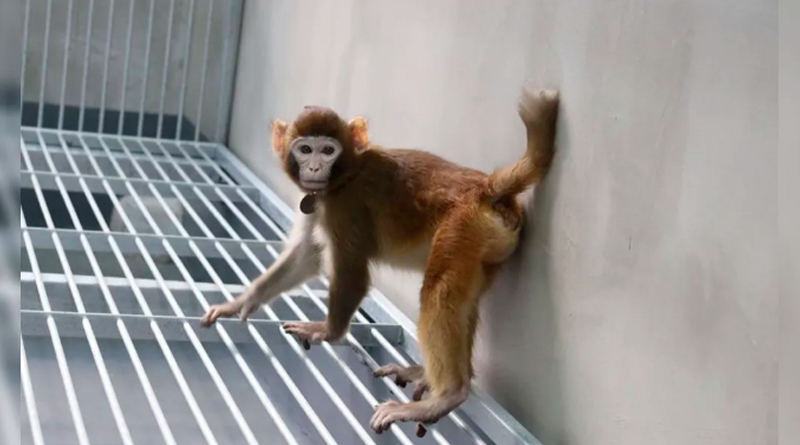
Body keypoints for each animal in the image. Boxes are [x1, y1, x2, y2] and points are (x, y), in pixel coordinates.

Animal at [200, 86, 560, 435]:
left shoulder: (346, 206)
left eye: (327, 150)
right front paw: (241, 302)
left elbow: (352, 273)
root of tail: (485, 188)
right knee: (462, 300)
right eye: (305, 149)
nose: (314, 168)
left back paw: (448, 394)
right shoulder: (319, 202)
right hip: (484, 246)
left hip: (462, 227)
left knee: (439, 292)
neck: (346, 175)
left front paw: (329, 331)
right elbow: (305, 256)